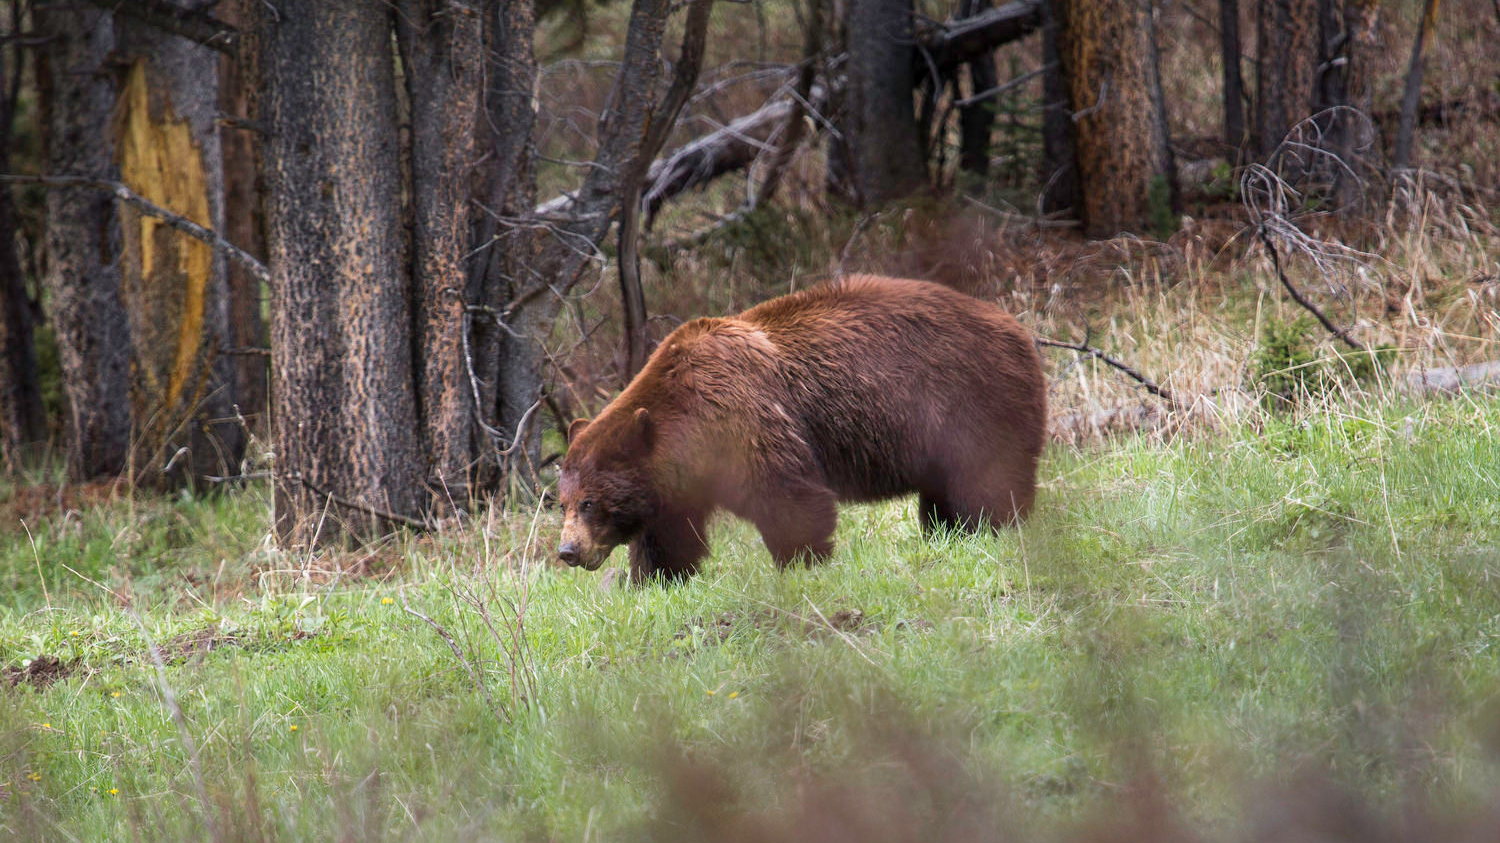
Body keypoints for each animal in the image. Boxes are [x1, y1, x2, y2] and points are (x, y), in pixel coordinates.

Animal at [555, 273, 1044, 582]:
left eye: (589, 502)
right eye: (561, 502)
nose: (567, 551)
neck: (688, 427)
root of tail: (1018, 328)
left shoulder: (743, 417)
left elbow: (788, 495)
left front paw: (803, 562)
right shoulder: (676, 483)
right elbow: (668, 537)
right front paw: (654, 579)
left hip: (975, 401)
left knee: (989, 481)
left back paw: (995, 527)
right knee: (943, 497)